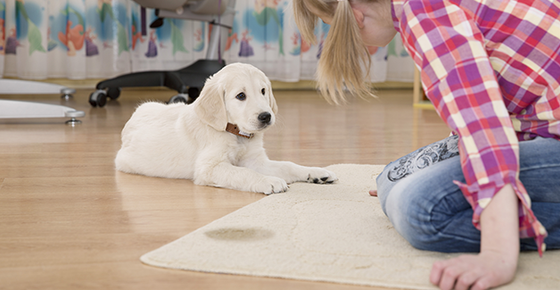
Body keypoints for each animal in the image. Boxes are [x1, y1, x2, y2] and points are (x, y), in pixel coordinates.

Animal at [112, 63, 336, 195]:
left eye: (263, 91)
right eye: (241, 96)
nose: (266, 116)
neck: (236, 134)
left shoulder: (256, 161)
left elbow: (288, 165)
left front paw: (315, 172)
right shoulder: (209, 168)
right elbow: (244, 173)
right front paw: (269, 181)